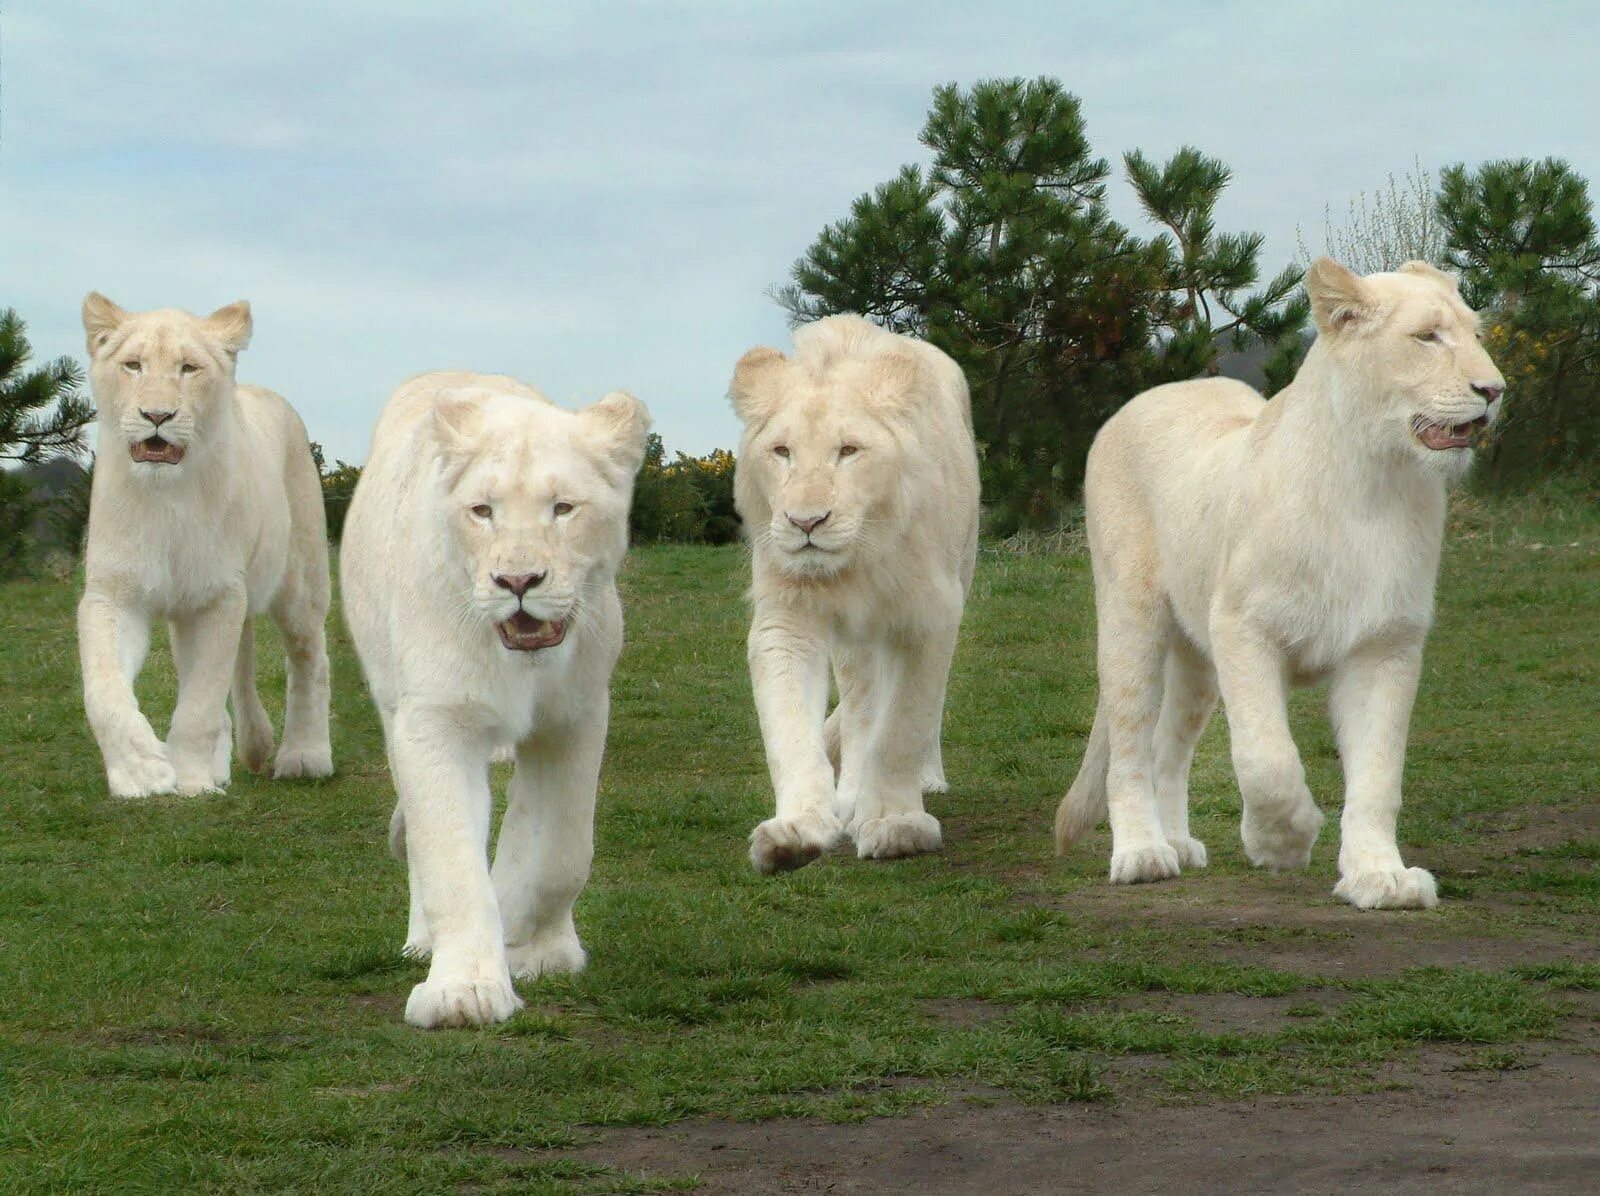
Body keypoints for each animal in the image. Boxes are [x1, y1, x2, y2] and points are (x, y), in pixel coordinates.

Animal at [80, 291, 334, 799]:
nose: (157, 416)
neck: (164, 497)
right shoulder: (113, 593)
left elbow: (200, 703)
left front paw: (192, 780)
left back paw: (305, 756)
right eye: (133, 365)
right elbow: (104, 688)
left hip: (300, 585)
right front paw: (142, 772)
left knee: (309, 660)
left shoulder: (218, 596)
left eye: (189, 368)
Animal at [344, 370, 649, 1029]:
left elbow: (562, 853)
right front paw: (464, 991)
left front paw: (529, 937)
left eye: (563, 508)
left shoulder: (576, 717)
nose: (517, 582)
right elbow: (451, 862)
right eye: (482, 511)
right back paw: (423, 940)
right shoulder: (435, 720)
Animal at [732, 313, 979, 876]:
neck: (860, 560)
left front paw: (896, 823)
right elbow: (791, 733)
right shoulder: (787, 618)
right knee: (861, 700)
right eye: (782, 452)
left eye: (848, 451)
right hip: (854, 640)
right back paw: (848, 796)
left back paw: (924, 780)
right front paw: (796, 831)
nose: (806, 522)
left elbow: (904, 724)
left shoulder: (930, 615)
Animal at [1056, 262, 1504, 908]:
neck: (1375, 484)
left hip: (1196, 658)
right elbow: (1266, 756)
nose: (1494, 390)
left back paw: (1178, 844)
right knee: (1130, 742)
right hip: (1131, 618)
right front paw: (1282, 842)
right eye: (1427, 337)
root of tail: (1153, 394)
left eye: (1476, 334)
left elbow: (1378, 775)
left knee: (1169, 745)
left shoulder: (1386, 645)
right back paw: (1143, 854)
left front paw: (1380, 877)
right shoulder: (1243, 627)